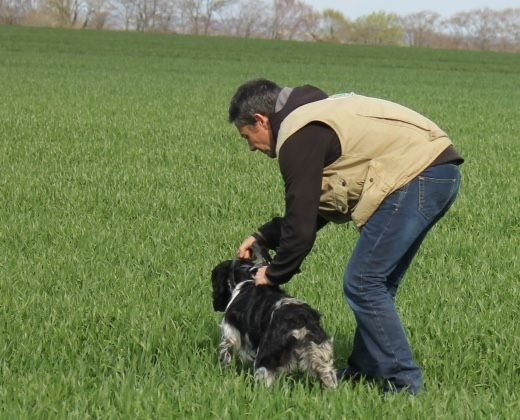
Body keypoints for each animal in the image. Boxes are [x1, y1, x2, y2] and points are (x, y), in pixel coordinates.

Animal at [211, 251, 337, 388]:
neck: (248, 278)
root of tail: (299, 320)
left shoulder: (230, 333)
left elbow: (226, 353)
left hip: (266, 356)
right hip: (319, 352)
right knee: (329, 376)